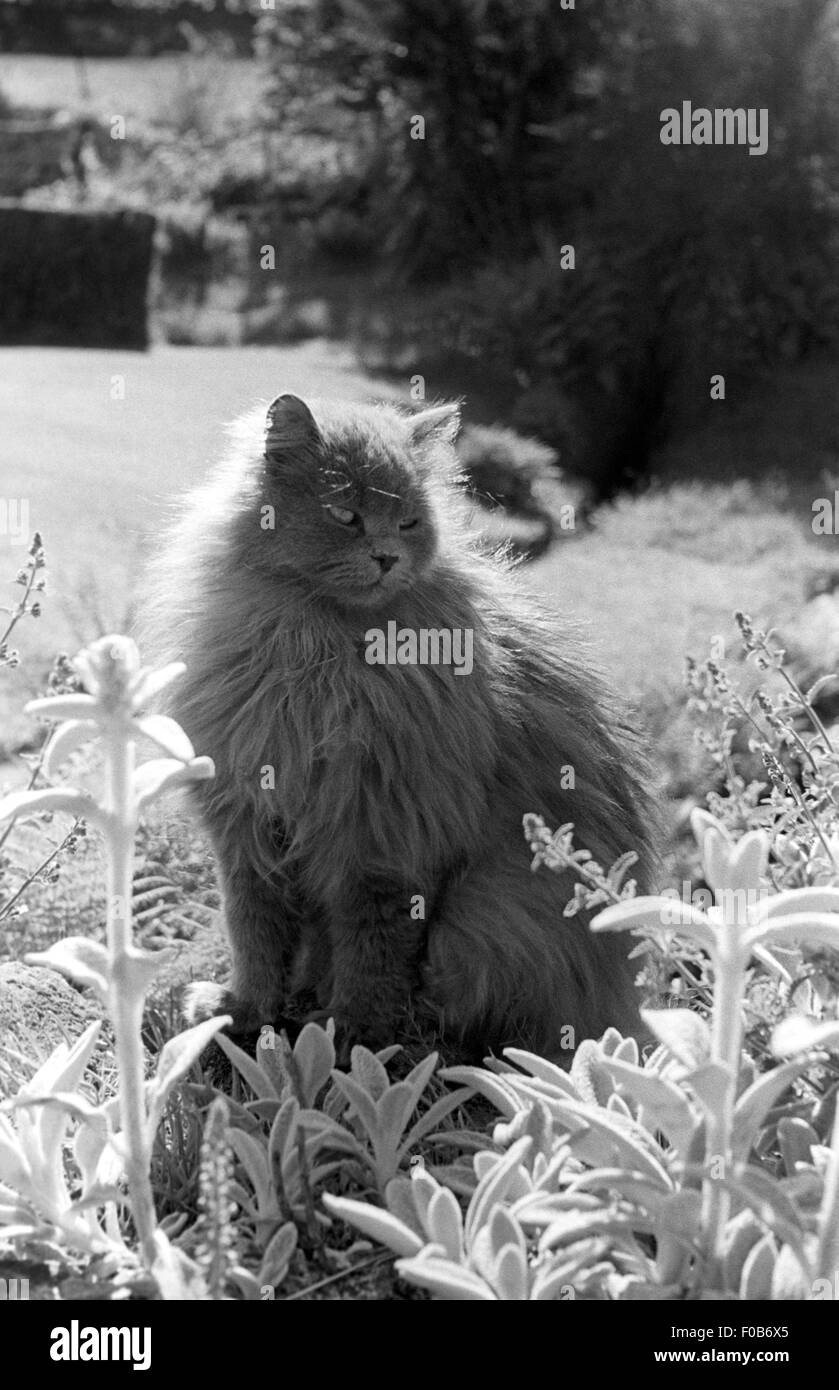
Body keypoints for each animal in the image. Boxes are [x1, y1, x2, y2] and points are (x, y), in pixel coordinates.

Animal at [142, 397, 655, 1056]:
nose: (385, 556)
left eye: (408, 522)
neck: (318, 662)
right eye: (344, 514)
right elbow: (255, 934)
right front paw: (246, 1010)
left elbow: (372, 951)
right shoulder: (250, 827)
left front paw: (351, 1032)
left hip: (486, 914)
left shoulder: (383, 837)